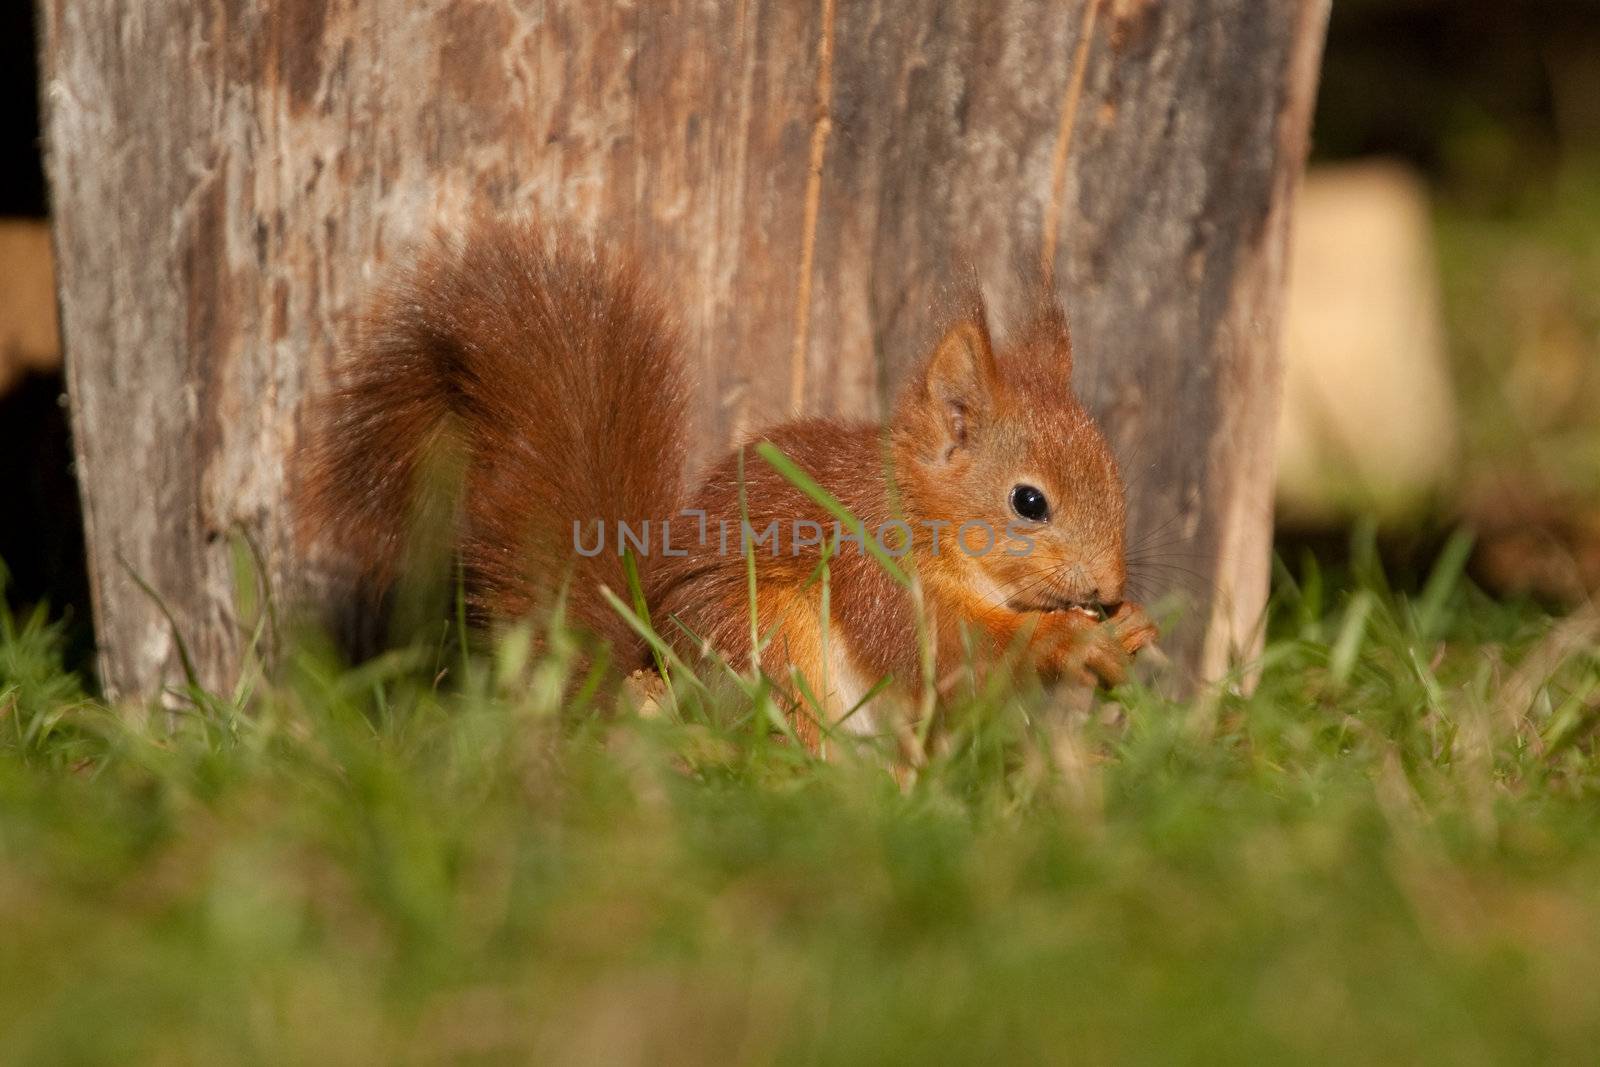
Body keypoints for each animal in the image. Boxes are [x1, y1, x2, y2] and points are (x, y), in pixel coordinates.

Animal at [302, 217, 1152, 751]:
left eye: (1115, 473)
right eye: (1029, 501)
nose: (1108, 589)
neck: (920, 514)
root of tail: (643, 676)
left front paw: (1133, 628)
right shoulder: (871, 570)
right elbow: (945, 648)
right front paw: (1072, 640)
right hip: (768, 643)